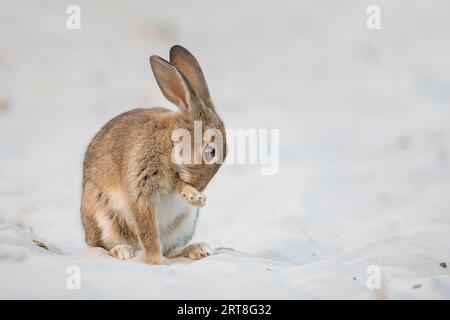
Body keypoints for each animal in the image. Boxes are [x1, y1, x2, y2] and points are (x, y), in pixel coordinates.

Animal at [80, 45, 225, 264]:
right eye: (211, 151)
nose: (200, 188)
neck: (169, 142)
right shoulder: (142, 185)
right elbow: (148, 230)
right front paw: (156, 262)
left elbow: (179, 188)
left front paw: (196, 198)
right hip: (102, 215)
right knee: (101, 245)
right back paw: (122, 251)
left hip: (185, 223)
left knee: (171, 249)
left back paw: (198, 249)